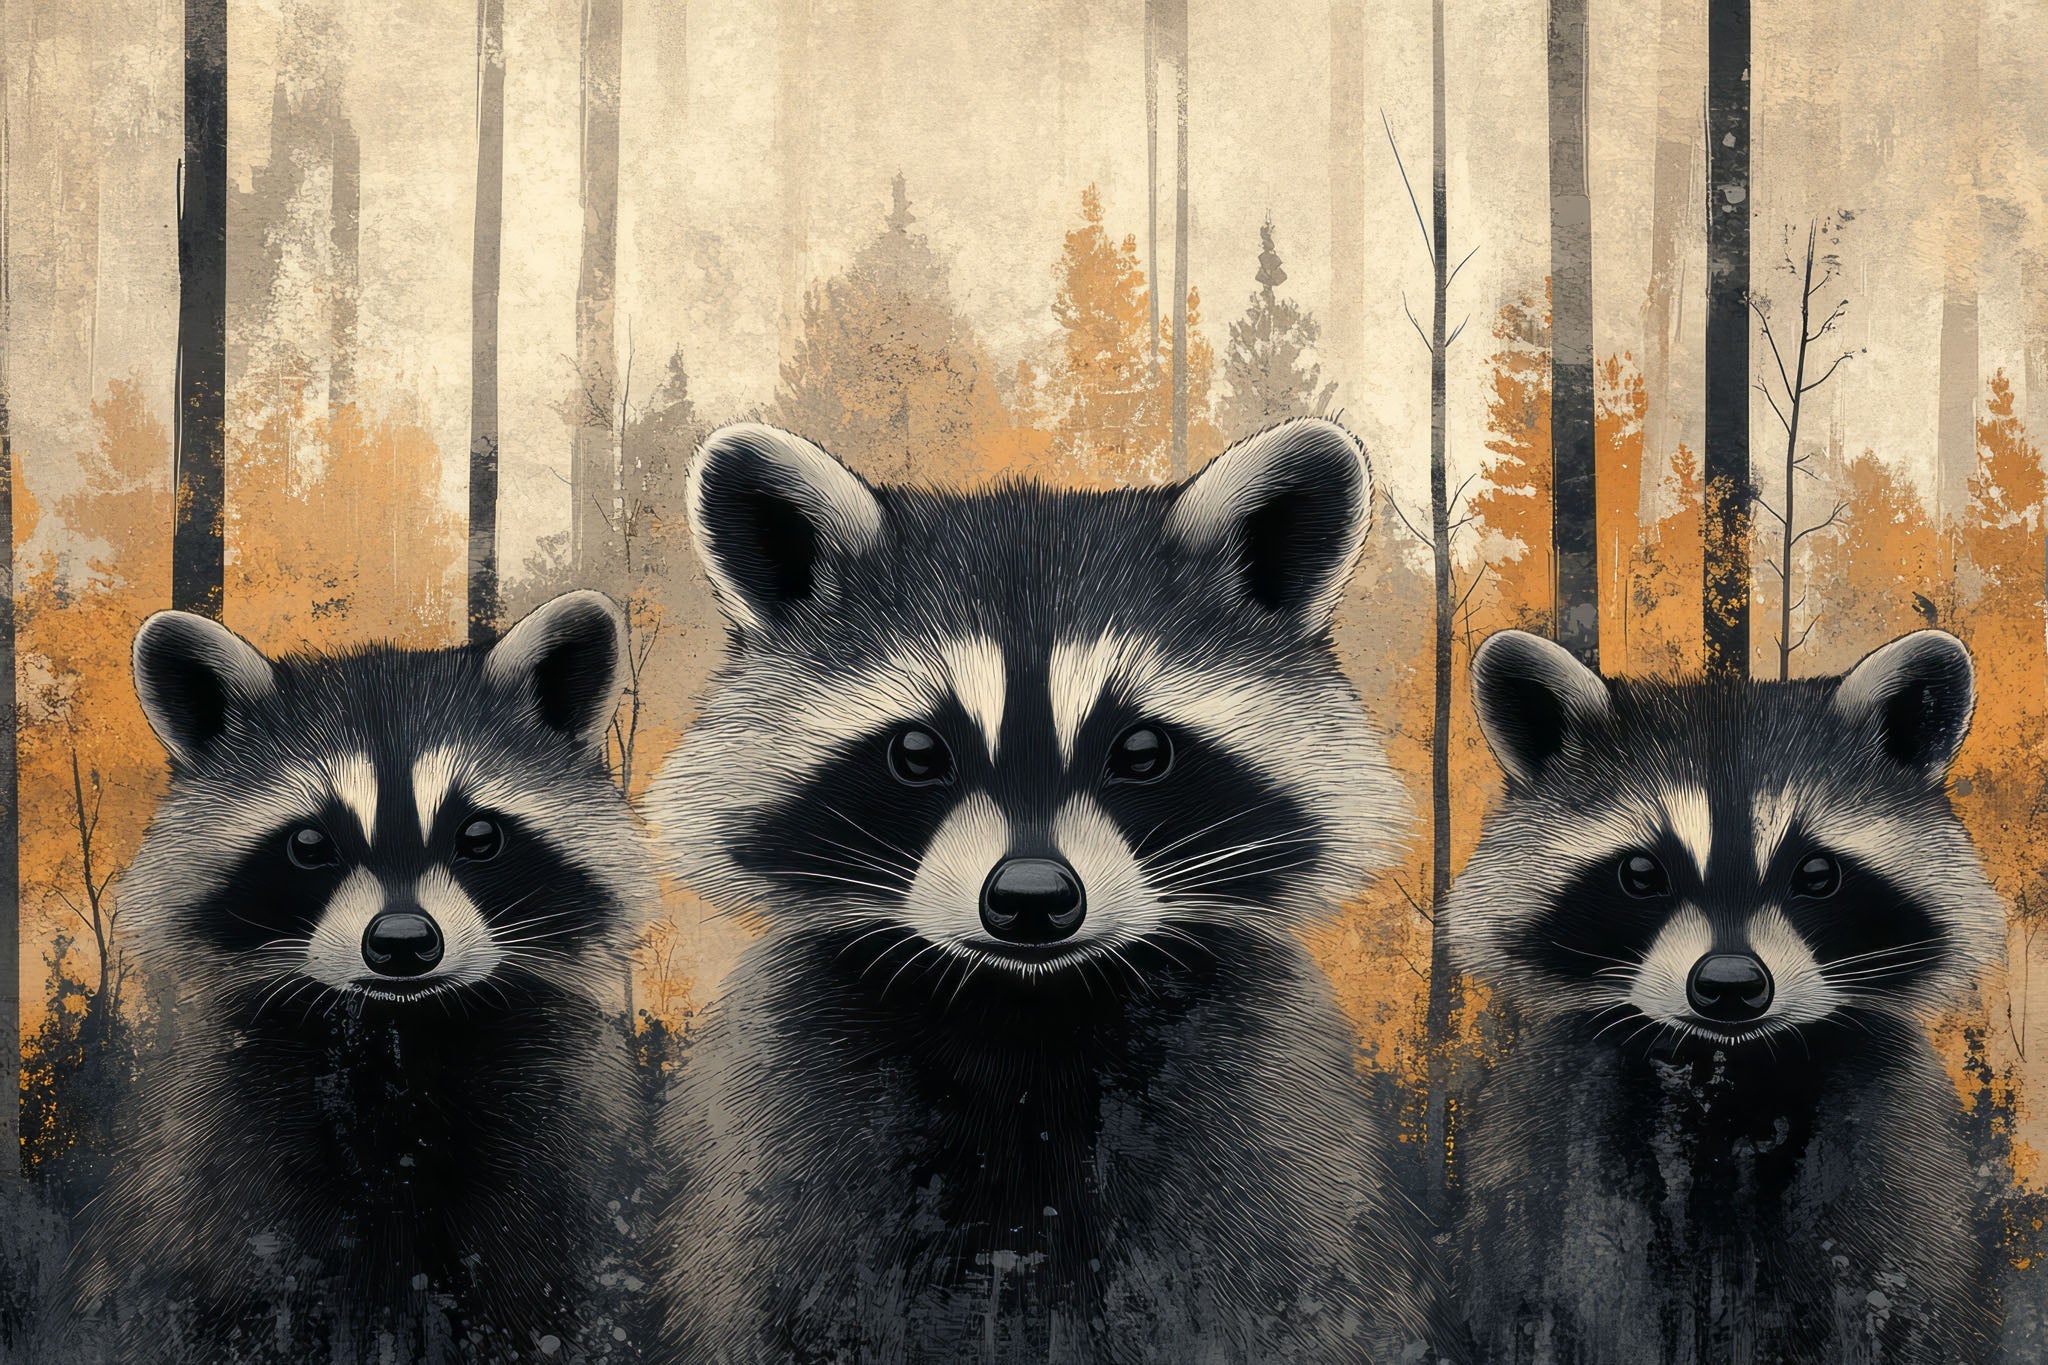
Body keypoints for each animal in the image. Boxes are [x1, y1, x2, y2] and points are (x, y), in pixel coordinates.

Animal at [66, 592, 656, 1364]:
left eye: (479, 836)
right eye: (310, 842)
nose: (403, 943)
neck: (400, 1030)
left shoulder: (560, 1125)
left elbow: (556, 1280)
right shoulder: (226, 1137)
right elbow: (225, 1283)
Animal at [648, 419, 1434, 1362]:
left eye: (1141, 750)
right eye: (918, 750)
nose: (1029, 896)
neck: (1026, 1009)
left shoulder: (1262, 1103)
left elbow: (1283, 1286)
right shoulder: (792, 1109)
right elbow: (780, 1292)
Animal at [1445, 629, 2005, 1364]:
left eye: (1817, 872)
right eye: (1641, 872)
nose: (1731, 985)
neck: (1725, 1066)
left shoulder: (1883, 1130)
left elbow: (1895, 1283)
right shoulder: (1562, 1129)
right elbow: (1562, 1286)